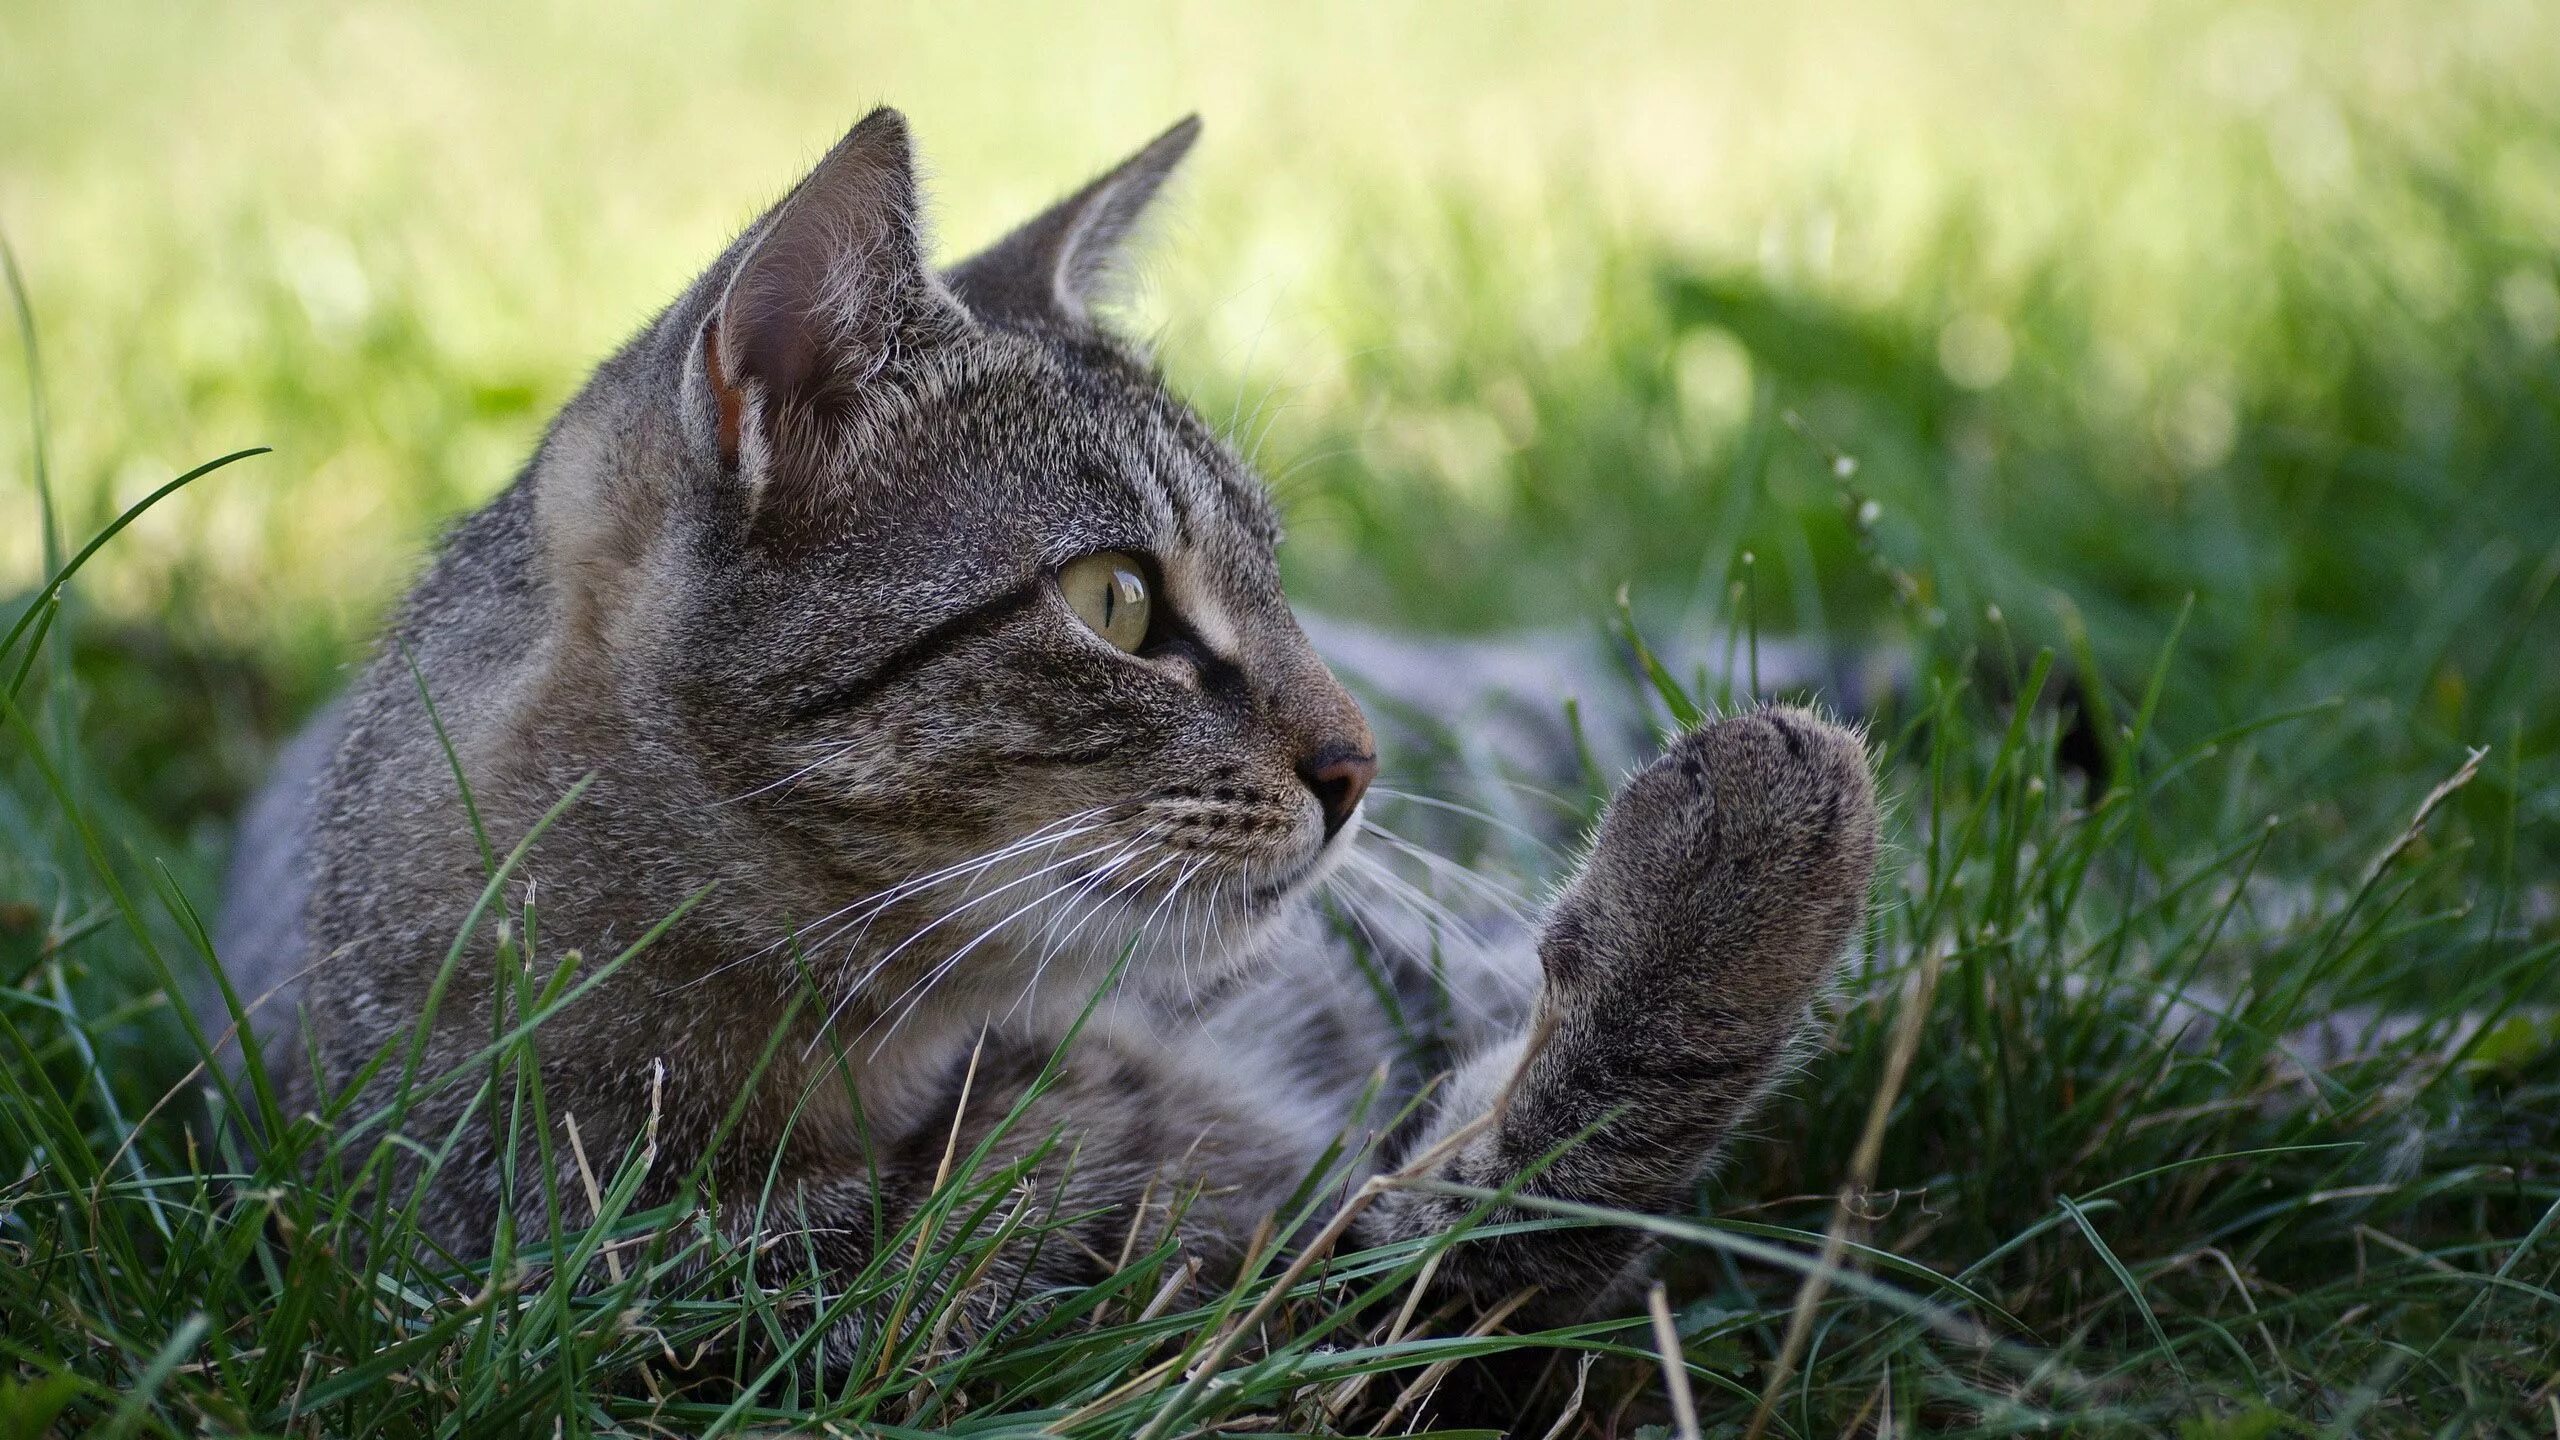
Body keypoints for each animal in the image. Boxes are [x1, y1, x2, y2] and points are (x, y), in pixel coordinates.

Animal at [215, 106, 1884, 1363]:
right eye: (1117, 602)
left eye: (1279, 572)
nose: (1361, 770)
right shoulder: (1165, 1325)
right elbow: (1509, 1220)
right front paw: (1750, 862)